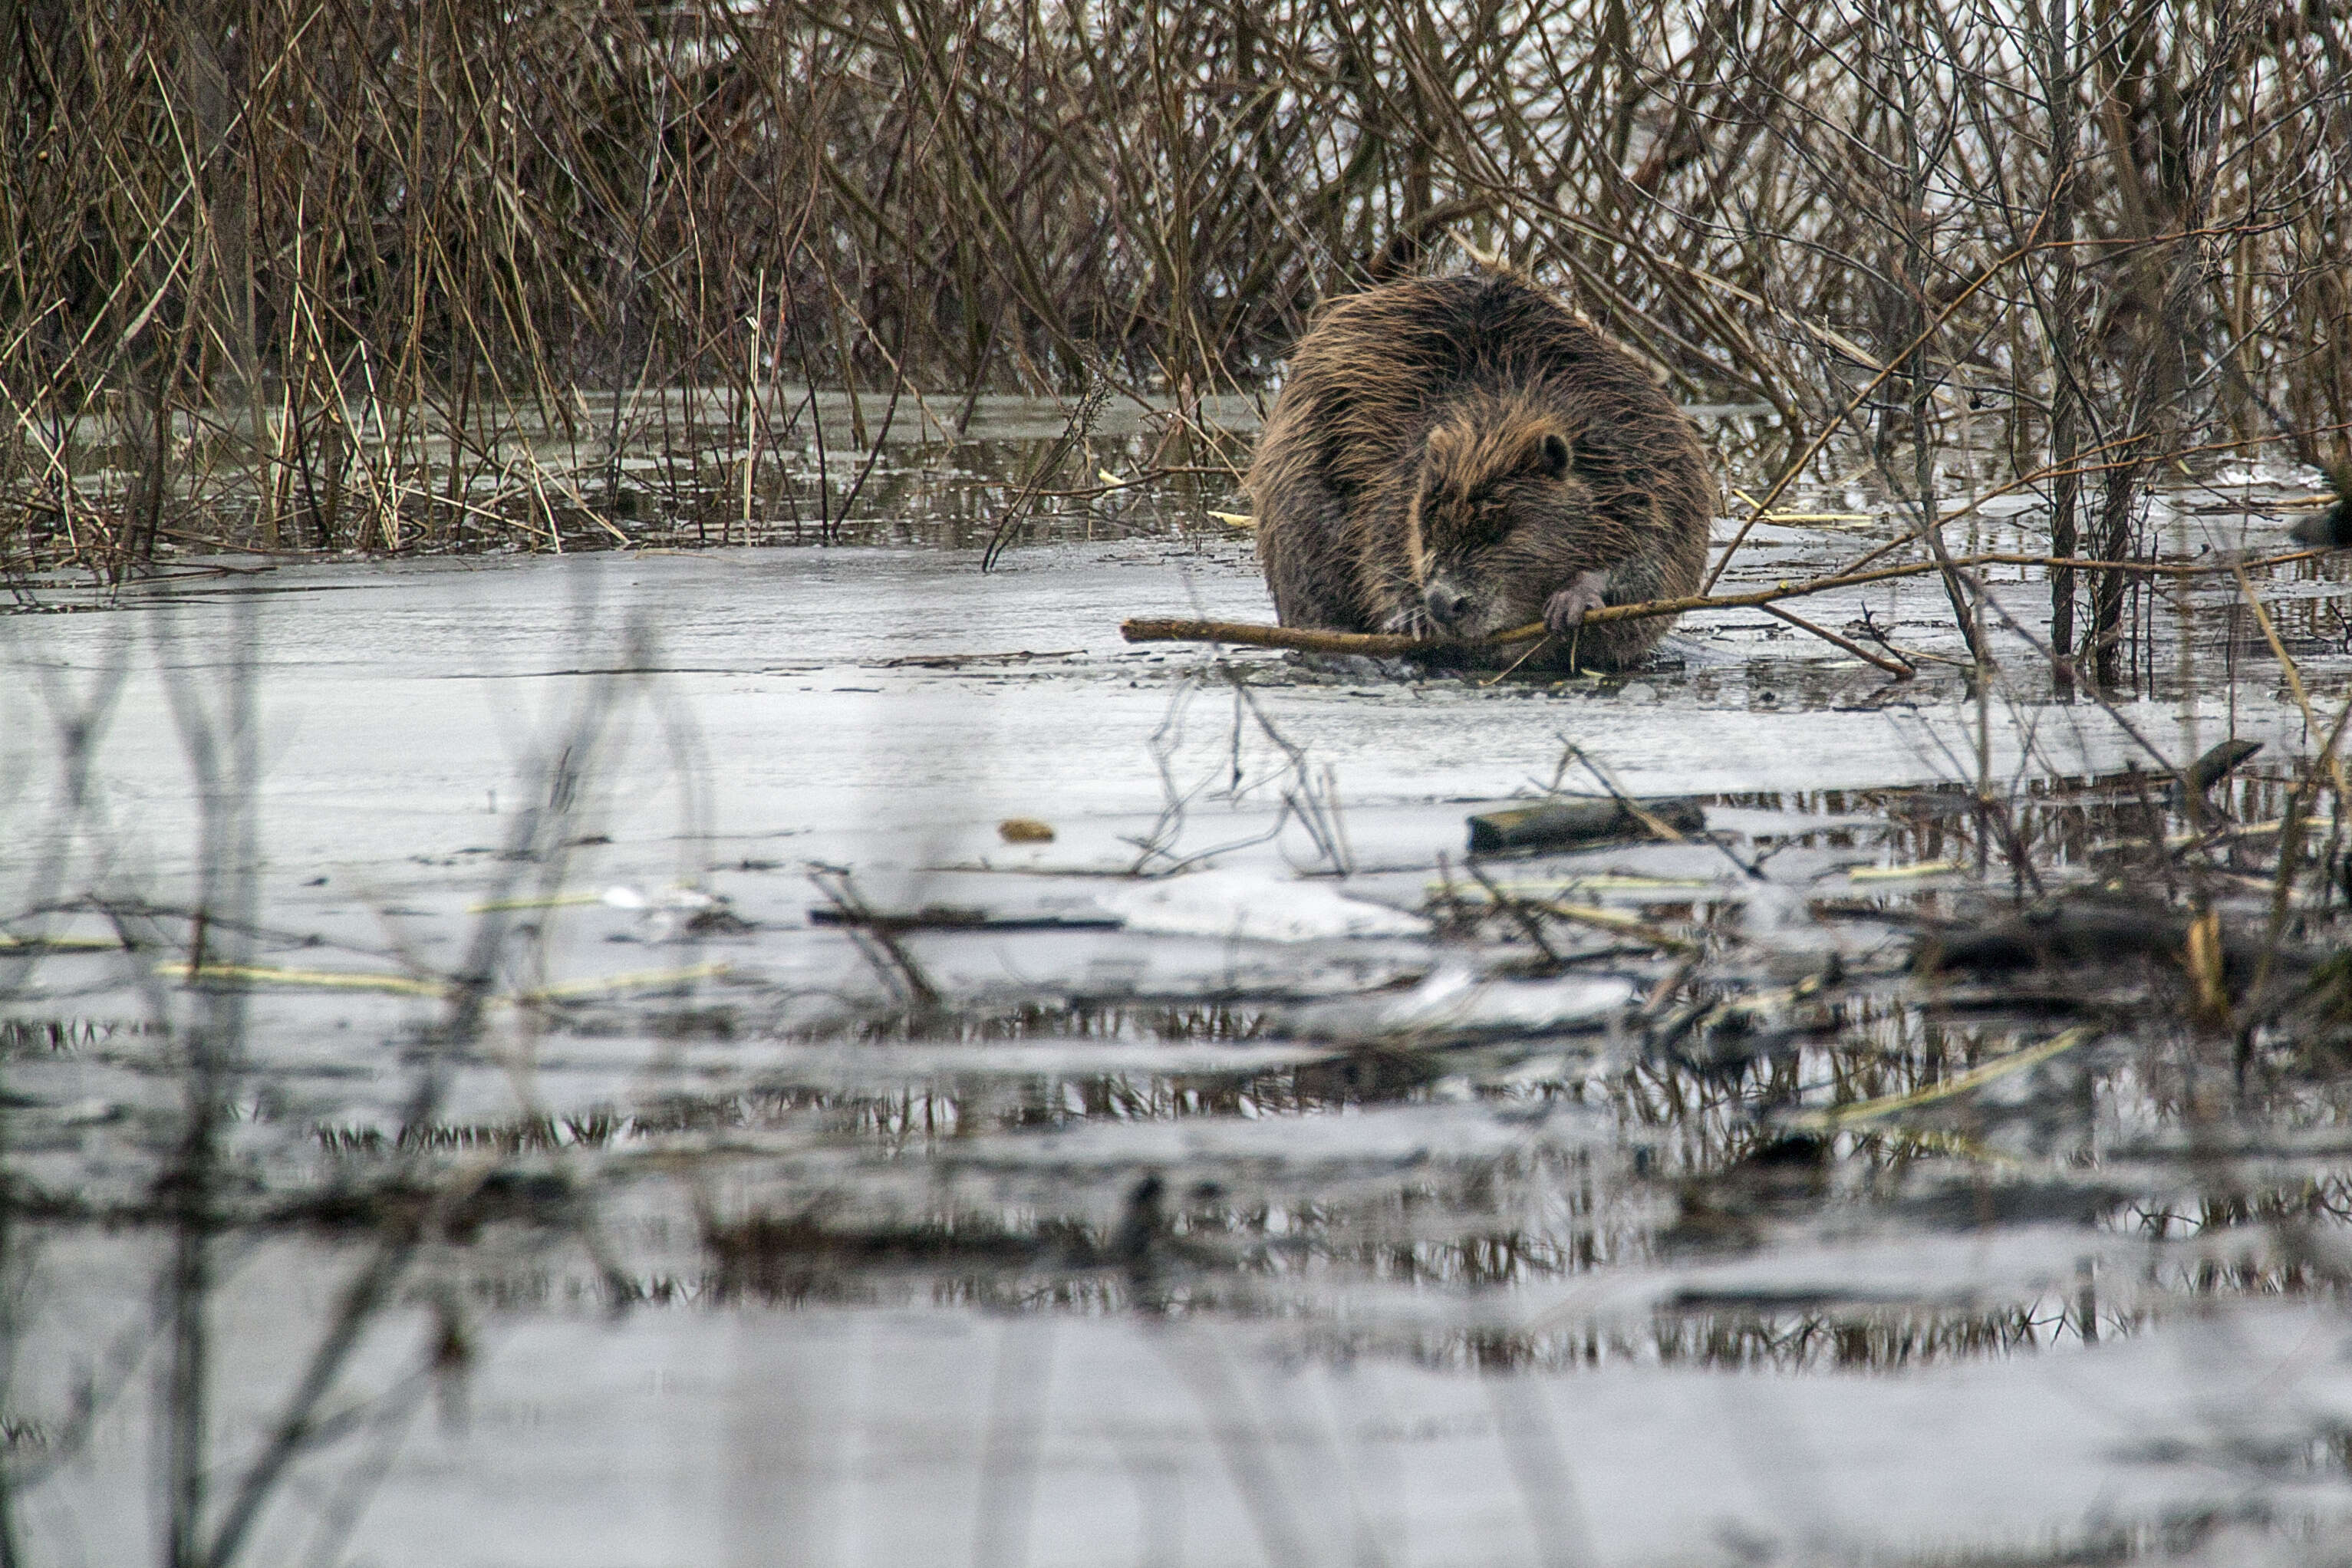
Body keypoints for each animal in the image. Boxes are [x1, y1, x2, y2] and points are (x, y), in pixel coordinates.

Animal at [1241, 276, 1721, 667]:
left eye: (1501, 530)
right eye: (1428, 524)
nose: (1443, 604)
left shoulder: (1645, 459)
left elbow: (1655, 555)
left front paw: (1572, 600)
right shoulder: (1398, 476)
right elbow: (1381, 541)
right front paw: (1412, 617)